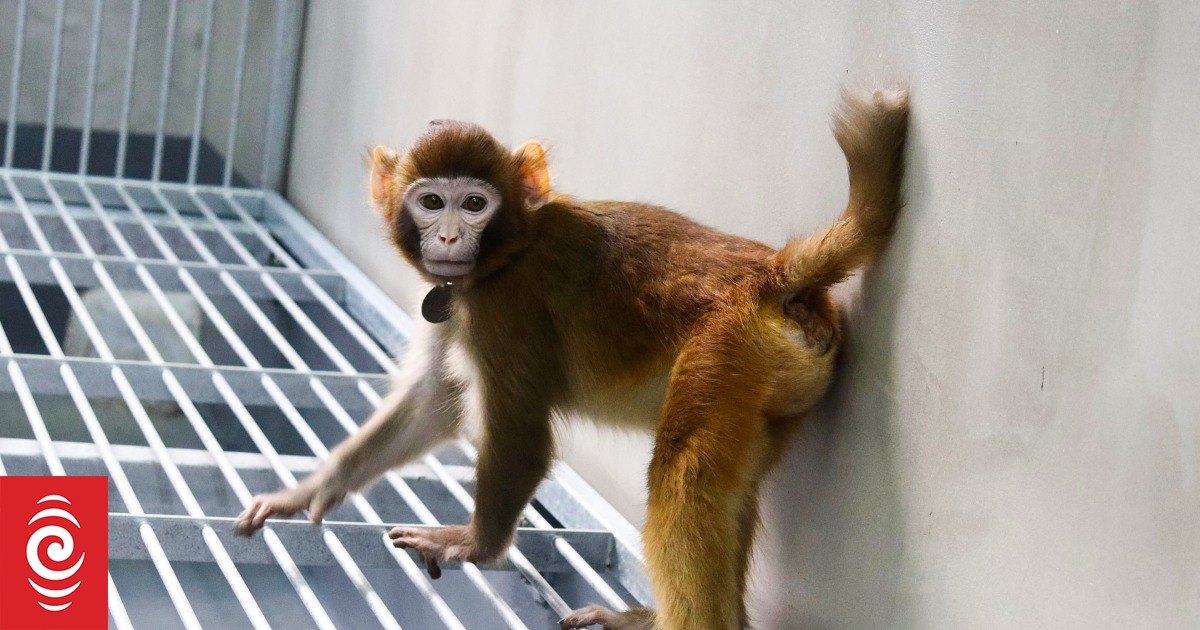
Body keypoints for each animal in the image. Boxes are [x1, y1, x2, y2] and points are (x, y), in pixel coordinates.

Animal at [234, 87, 909, 630]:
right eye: (431, 202)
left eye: (473, 204)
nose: (448, 237)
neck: (510, 249)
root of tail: (773, 277)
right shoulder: (459, 303)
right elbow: (433, 403)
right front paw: (311, 490)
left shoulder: (506, 309)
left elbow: (522, 438)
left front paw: (477, 546)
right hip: (770, 383)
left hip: (726, 349)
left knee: (684, 480)